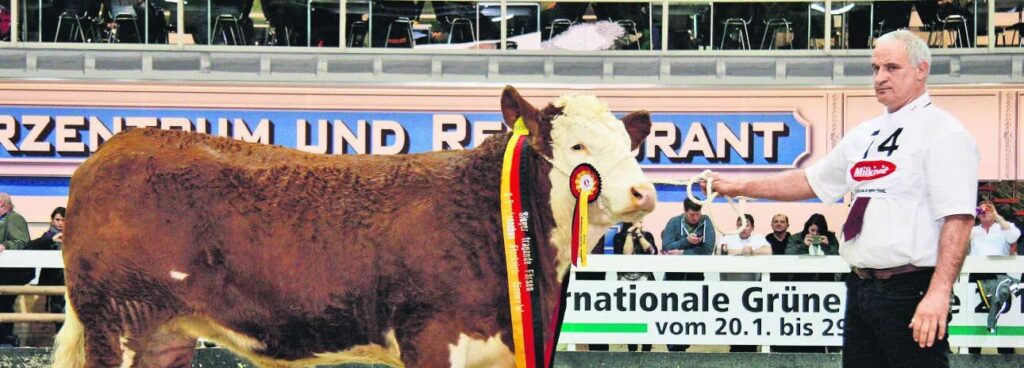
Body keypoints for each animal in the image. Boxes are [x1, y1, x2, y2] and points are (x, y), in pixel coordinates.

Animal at [51, 87, 651, 368]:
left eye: (630, 146)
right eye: (578, 148)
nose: (644, 192)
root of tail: (115, 147)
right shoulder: (432, 336)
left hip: (162, 335)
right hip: (114, 320)